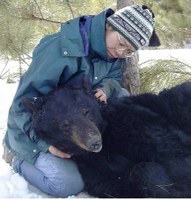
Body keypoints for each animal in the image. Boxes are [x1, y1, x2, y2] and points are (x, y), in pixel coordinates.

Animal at [22, 74, 191, 198]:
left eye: (86, 111)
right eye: (65, 125)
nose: (94, 142)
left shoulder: (132, 122)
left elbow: (174, 152)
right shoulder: (94, 167)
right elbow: (116, 184)